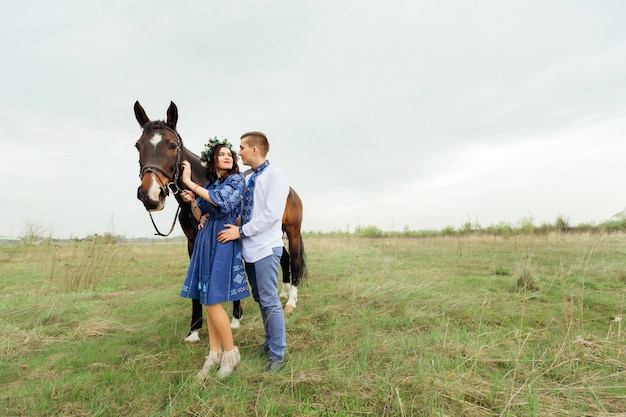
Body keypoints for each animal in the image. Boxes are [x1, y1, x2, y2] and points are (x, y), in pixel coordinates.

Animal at [133, 100, 306, 334]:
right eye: (138, 146)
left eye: (172, 145)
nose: (150, 195)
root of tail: (290, 190)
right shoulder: (192, 242)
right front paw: (194, 330)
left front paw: (235, 319)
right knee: (284, 257)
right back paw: (283, 293)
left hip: (292, 231)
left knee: (294, 259)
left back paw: (291, 302)